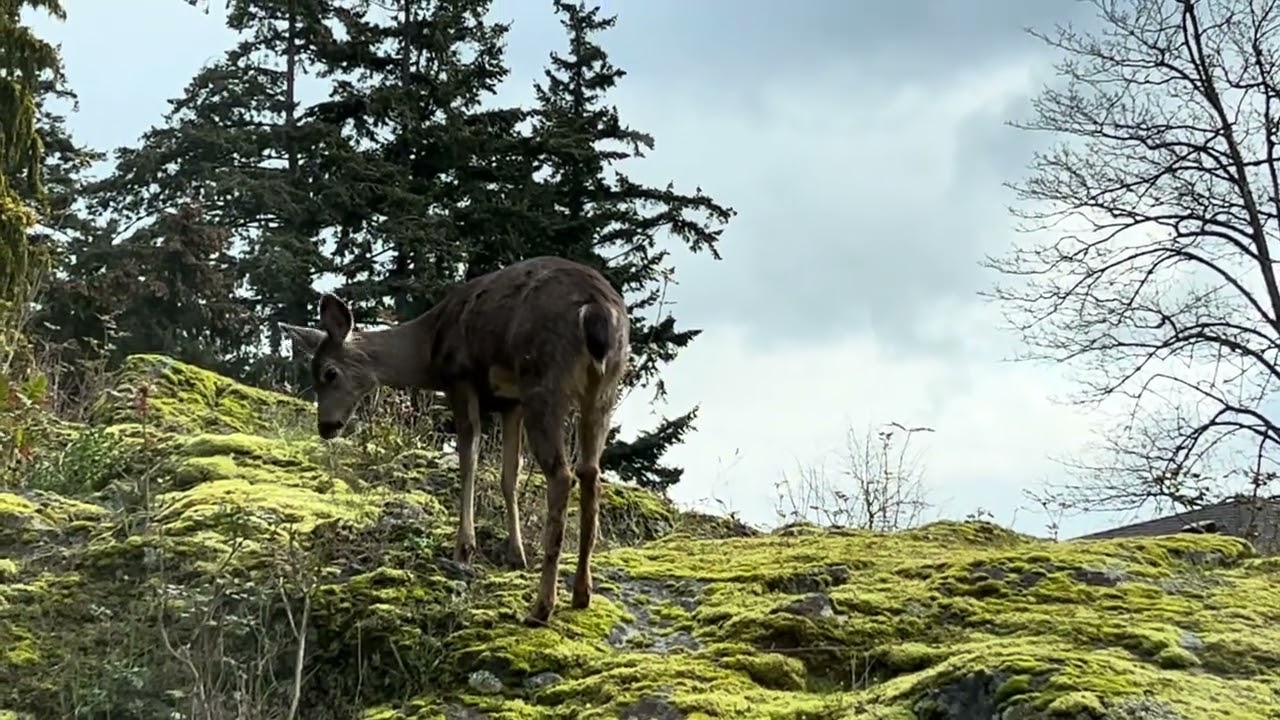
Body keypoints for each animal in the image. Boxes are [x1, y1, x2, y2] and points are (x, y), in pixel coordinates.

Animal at [280, 255, 631, 626]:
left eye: (329, 373)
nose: (326, 426)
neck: (428, 348)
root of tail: (596, 311)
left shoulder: (460, 379)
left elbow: (469, 461)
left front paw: (464, 548)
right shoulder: (511, 403)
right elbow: (509, 476)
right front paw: (515, 554)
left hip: (545, 379)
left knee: (562, 474)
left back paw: (541, 607)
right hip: (604, 387)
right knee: (590, 473)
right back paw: (581, 594)